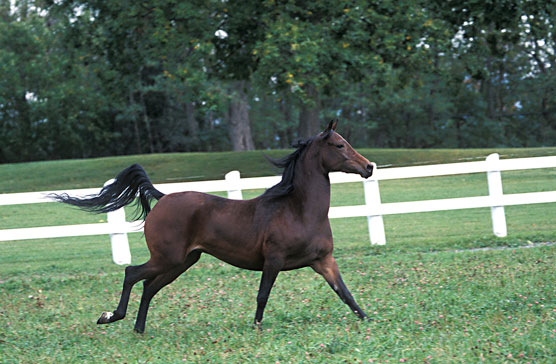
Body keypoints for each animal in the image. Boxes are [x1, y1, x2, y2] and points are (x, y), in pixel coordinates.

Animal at [52, 120, 374, 332]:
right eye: (339, 145)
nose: (369, 167)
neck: (299, 210)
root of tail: (163, 197)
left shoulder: (324, 261)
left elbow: (345, 294)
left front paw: (369, 319)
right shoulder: (273, 260)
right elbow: (262, 295)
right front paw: (256, 327)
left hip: (182, 261)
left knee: (149, 286)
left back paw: (139, 329)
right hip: (167, 258)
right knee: (132, 274)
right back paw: (110, 316)